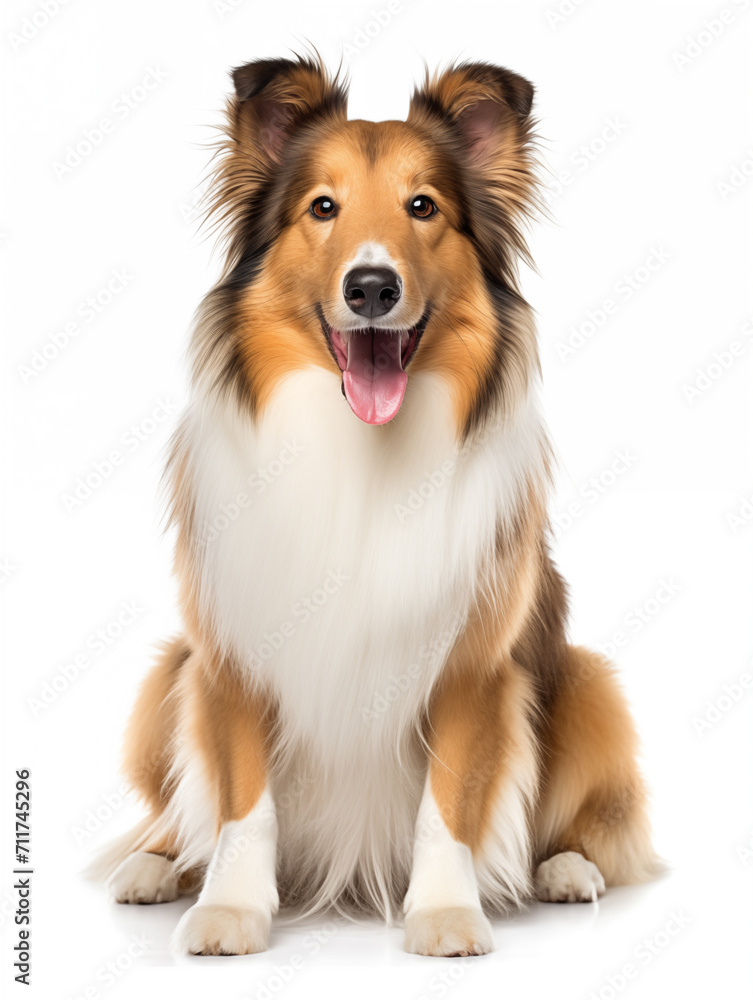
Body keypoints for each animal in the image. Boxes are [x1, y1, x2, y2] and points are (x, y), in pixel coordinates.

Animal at [94, 56, 656, 960]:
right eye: (322, 207)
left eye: (422, 206)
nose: (369, 287)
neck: (361, 448)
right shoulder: (230, 653)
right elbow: (241, 801)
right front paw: (230, 909)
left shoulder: (470, 664)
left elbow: (449, 803)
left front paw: (445, 914)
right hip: (166, 677)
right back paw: (156, 865)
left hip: (583, 680)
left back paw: (564, 870)